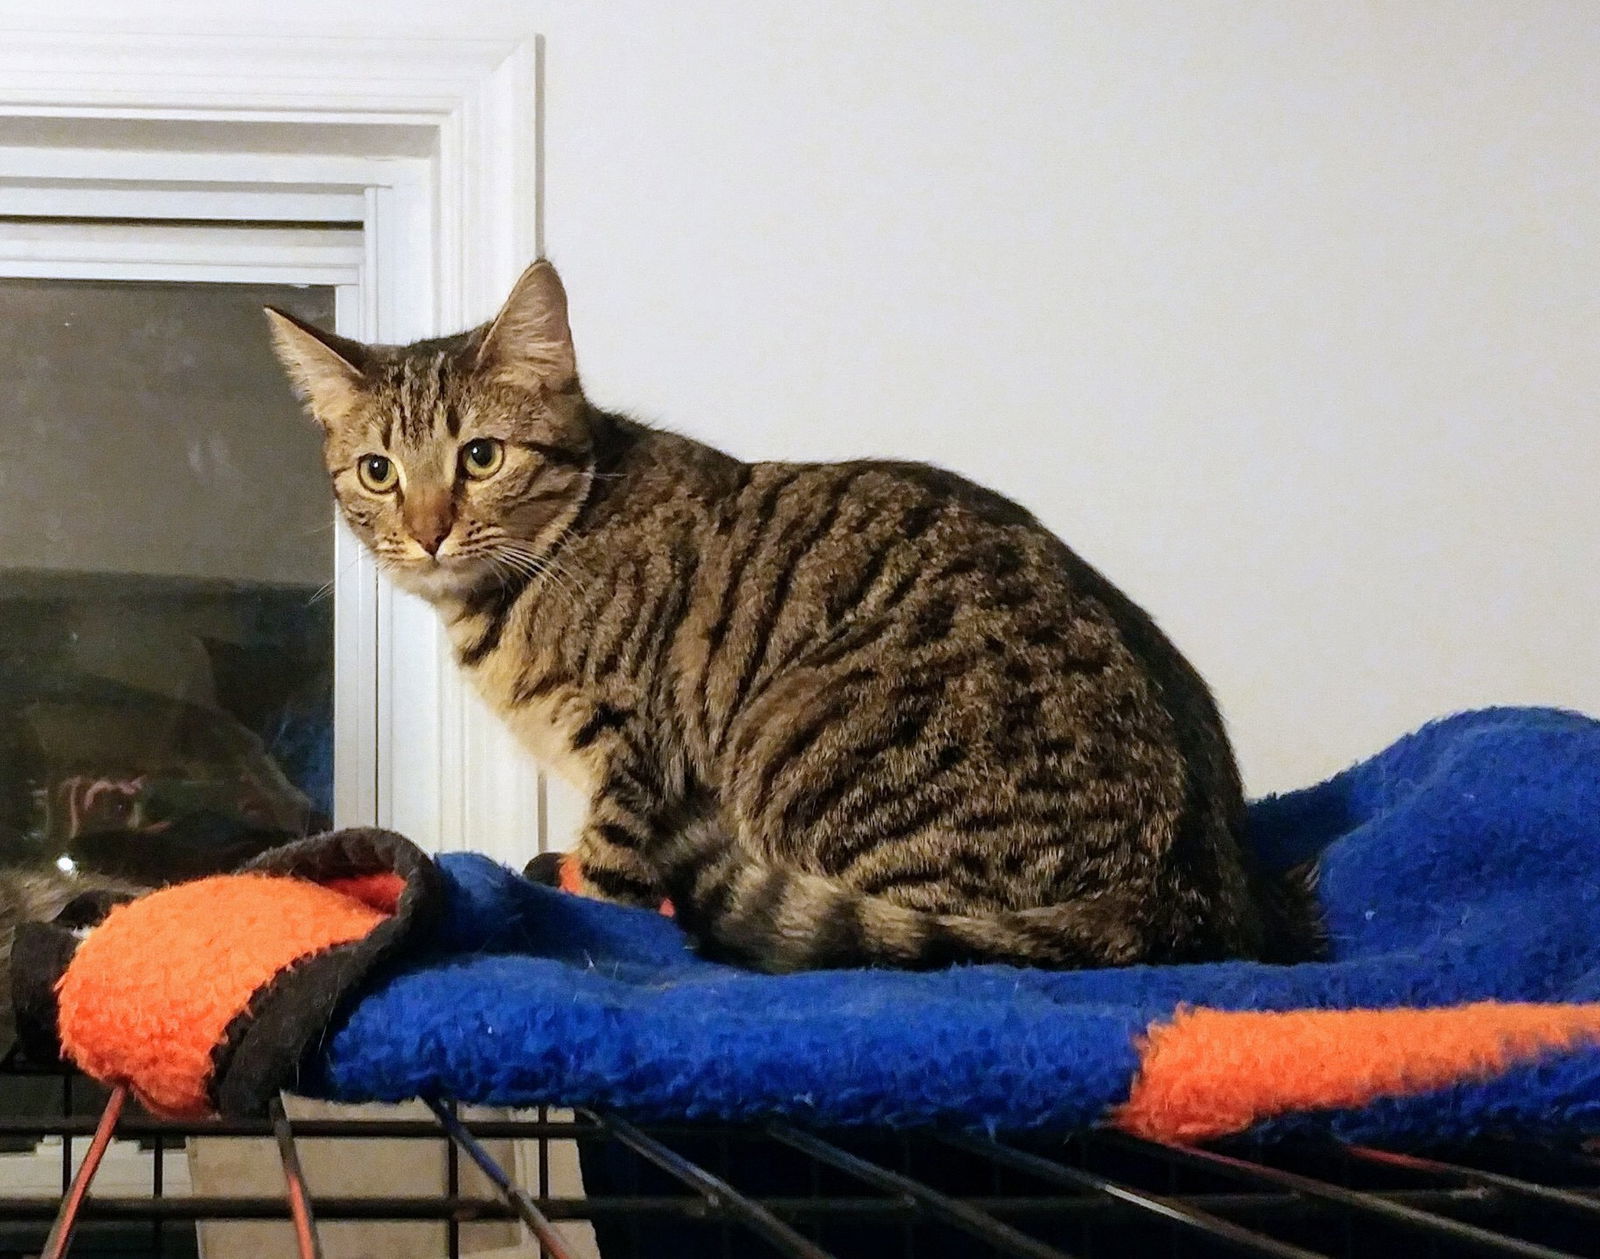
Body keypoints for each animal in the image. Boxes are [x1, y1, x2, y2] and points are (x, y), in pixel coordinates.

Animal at [262, 263, 1318, 972]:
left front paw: (588, 904)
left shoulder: (634, 751)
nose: (429, 531)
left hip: (799, 746)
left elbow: (608, 879)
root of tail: (1190, 891)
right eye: (377, 472)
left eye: (481, 456)